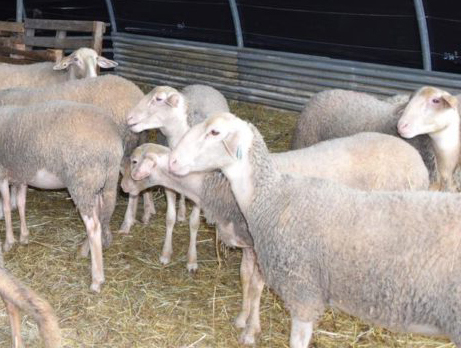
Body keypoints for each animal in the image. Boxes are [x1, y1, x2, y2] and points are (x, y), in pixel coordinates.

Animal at [0, 101, 124, 294]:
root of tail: (114, 145)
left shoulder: (3, 172)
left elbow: (6, 207)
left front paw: (8, 242)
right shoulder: (22, 174)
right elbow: (20, 204)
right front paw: (24, 236)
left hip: (82, 180)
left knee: (94, 226)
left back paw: (96, 280)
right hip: (95, 184)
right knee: (100, 215)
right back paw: (84, 250)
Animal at [121, 133, 428, 342]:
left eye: (134, 161)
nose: (123, 187)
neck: (217, 185)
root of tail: (418, 162)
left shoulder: (262, 246)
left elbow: (257, 287)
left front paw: (250, 330)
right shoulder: (248, 245)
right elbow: (245, 279)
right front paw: (242, 318)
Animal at [125, 84, 229, 272]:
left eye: (159, 99)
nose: (128, 117)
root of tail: (202, 85)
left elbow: (194, 223)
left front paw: (192, 260)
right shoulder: (168, 183)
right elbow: (169, 218)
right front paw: (166, 254)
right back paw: (181, 212)